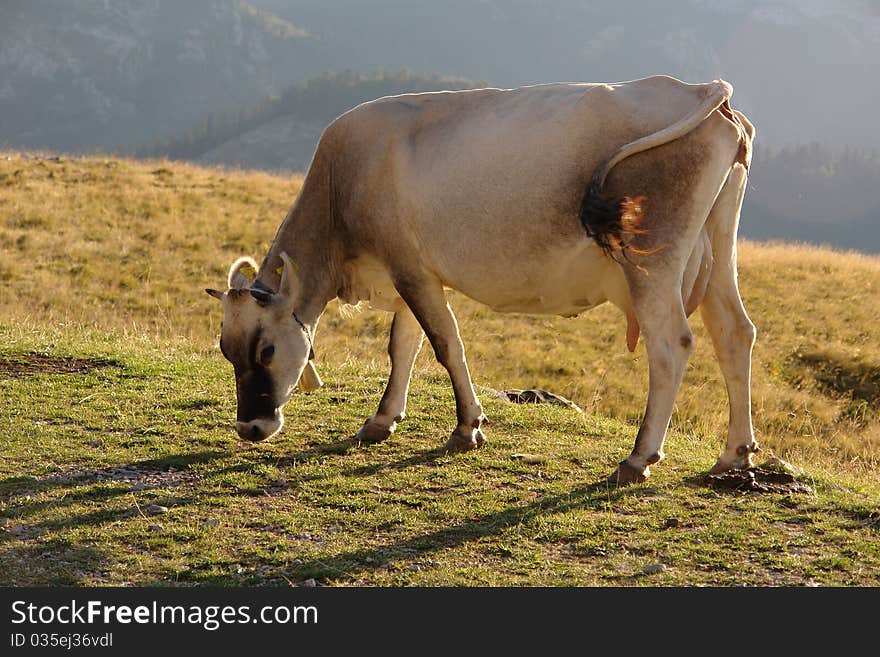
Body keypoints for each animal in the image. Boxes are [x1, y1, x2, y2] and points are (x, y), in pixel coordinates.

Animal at [205, 74, 756, 484]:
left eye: (266, 350)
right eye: (226, 351)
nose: (249, 427)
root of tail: (697, 89)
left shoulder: (409, 270)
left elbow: (445, 344)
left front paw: (467, 428)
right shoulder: (413, 272)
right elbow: (403, 346)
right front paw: (383, 420)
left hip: (652, 261)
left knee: (671, 345)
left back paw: (639, 458)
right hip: (718, 246)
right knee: (735, 333)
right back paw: (734, 455)